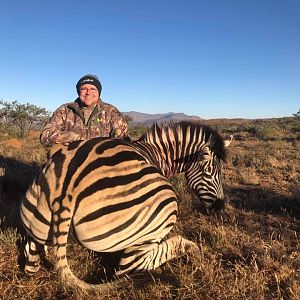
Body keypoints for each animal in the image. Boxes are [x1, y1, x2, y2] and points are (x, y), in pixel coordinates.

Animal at [19, 121, 232, 290]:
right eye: (210, 172)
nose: (219, 206)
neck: (156, 154)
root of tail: (68, 190)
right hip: (163, 211)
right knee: (130, 268)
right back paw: (192, 250)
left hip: (36, 222)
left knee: (31, 260)